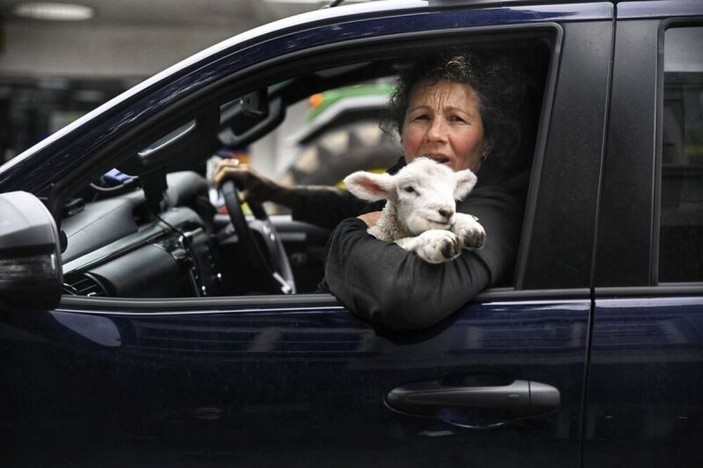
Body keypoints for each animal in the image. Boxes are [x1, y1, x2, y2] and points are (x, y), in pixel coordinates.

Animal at [344, 157, 486, 264]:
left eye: (452, 190)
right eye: (409, 189)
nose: (447, 212)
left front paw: (468, 226)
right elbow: (404, 241)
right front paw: (436, 239)